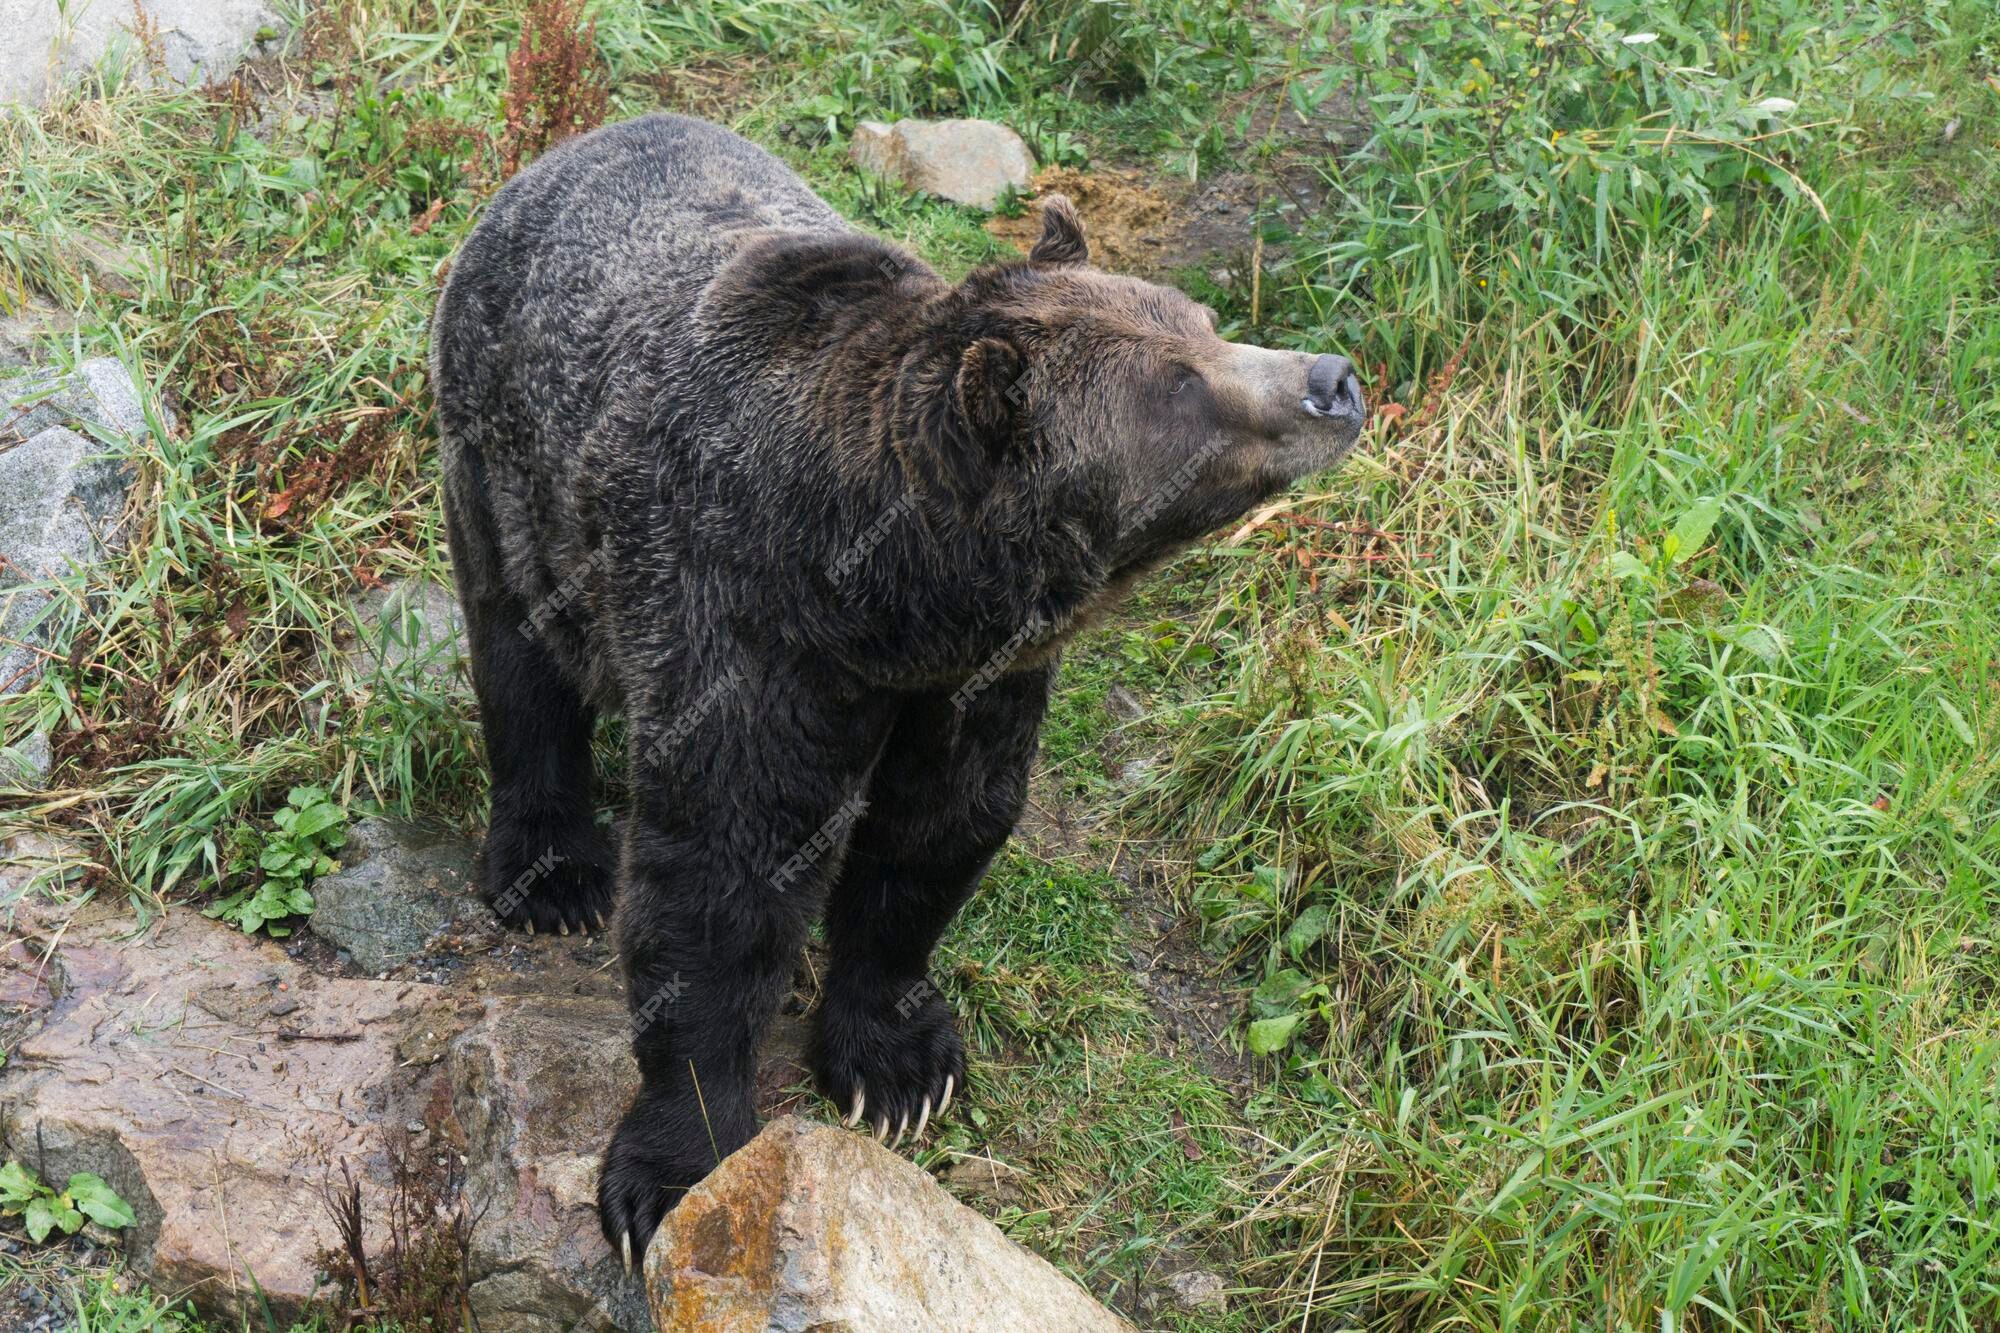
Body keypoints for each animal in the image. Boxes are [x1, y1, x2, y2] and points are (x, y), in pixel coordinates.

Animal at [434, 111, 1376, 1256]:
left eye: (1201, 319)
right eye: (1179, 386)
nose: (1330, 377)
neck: (882, 595)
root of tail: (560, 153)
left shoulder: (975, 677)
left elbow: (936, 831)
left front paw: (895, 1067)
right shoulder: (737, 619)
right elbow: (720, 873)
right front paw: (670, 1168)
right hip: (504, 469)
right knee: (520, 661)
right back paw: (551, 871)